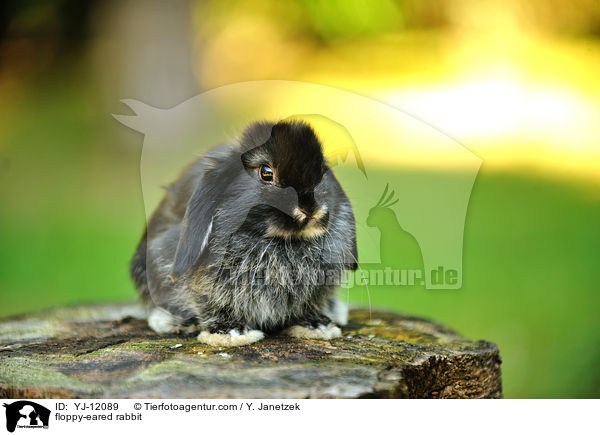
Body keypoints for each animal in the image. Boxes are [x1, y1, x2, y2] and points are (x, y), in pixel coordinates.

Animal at [130, 119, 356, 348]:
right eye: (266, 173)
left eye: (322, 170)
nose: (310, 210)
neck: (281, 240)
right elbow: (208, 303)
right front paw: (231, 333)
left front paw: (317, 326)